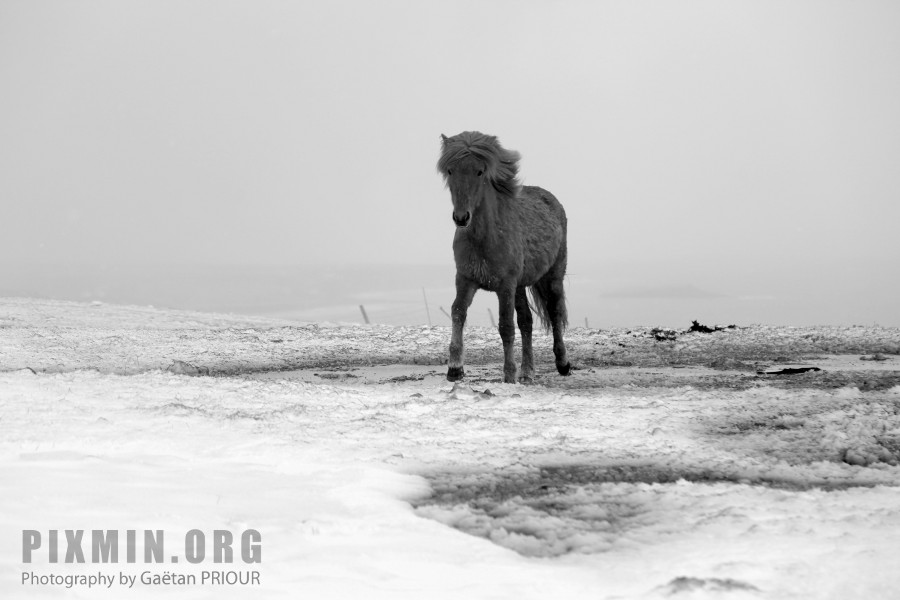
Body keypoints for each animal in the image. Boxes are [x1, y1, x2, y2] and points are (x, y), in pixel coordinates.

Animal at [436, 131, 568, 384]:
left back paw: (563, 363)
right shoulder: (465, 280)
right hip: (521, 285)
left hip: (553, 276)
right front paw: (455, 369)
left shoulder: (505, 286)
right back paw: (527, 372)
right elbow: (458, 313)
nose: (461, 217)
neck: (485, 238)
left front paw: (508, 374)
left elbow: (506, 326)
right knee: (526, 322)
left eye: (480, 171)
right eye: (450, 170)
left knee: (555, 313)